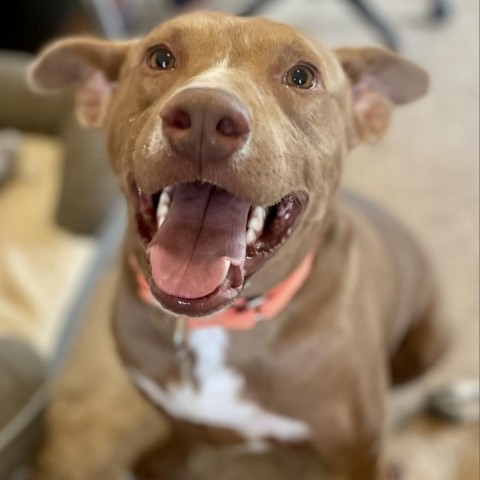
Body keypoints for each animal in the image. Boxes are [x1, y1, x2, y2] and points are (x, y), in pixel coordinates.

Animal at [29, 12, 450, 480]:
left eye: (302, 76)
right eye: (160, 58)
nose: (204, 114)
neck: (218, 326)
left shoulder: (359, 452)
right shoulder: (167, 402)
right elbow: (180, 433)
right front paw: (160, 461)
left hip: (430, 343)